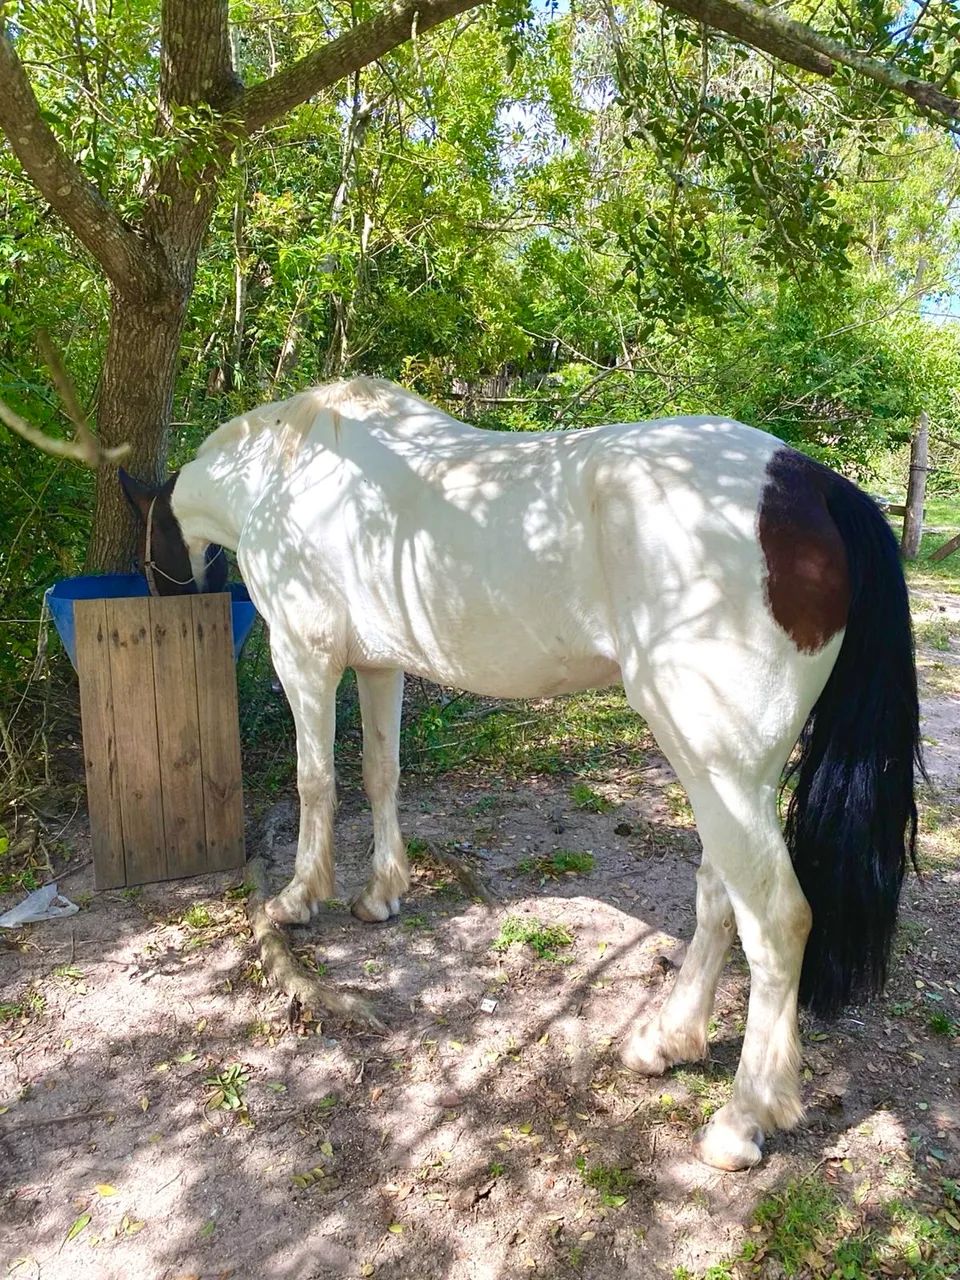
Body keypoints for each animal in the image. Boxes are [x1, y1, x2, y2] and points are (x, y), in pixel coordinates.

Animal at [119, 377, 920, 1171]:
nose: (159, 603)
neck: (289, 473)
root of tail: (808, 483)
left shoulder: (305, 660)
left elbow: (317, 782)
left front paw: (297, 899)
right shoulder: (379, 667)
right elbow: (381, 774)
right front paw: (381, 894)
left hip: (716, 761)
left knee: (778, 920)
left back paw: (742, 1118)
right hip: (730, 774)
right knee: (720, 898)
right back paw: (667, 1042)